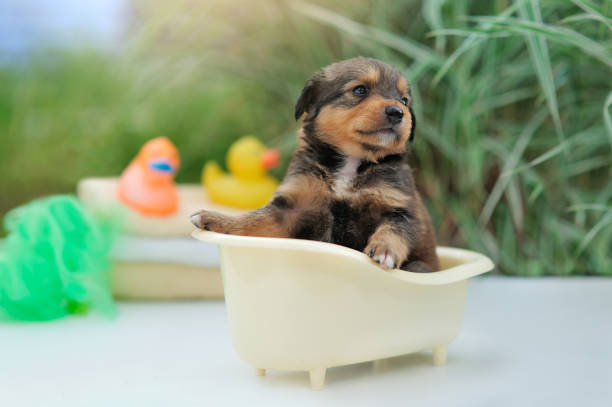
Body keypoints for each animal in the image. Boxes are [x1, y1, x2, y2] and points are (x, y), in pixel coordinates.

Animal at [191, 56, 440, 274]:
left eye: (404, 100)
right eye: (360, 90)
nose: (398, 112)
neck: (352, 160)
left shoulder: (400, 209)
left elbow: (393, 230)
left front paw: (384, 250)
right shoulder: (291, 208)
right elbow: (253, 219)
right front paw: (215, 219)